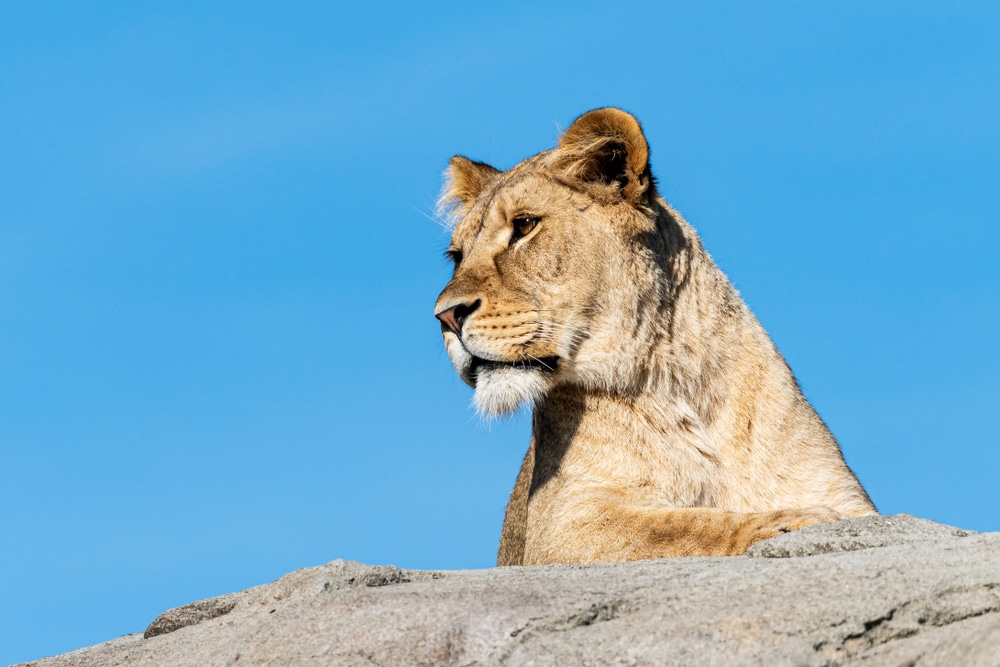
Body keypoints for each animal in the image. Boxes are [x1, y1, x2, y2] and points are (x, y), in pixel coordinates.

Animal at [434, 107, 872, 568]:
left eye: (524, 226)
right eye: (457, 256)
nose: (445, 316)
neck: (685, 383)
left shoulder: (846, 496)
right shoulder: (558, 527)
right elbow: (684, 525)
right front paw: (788, 521)